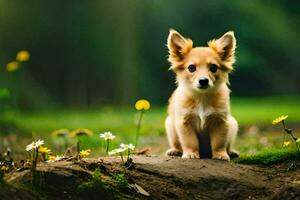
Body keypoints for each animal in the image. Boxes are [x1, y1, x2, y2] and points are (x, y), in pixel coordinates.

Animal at [164, 28, 239, 160]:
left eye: (213, 68)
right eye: (191, 68)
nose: (203, 80)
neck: (202, 97)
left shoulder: (220, 121)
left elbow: (219, 142)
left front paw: (220, 154)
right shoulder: (184, 123)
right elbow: (190, 141)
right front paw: (191, 153)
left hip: (233, 124)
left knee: (228, 145)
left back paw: (231, 152)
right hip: (170, 125)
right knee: (177, 144)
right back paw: (175, 151)